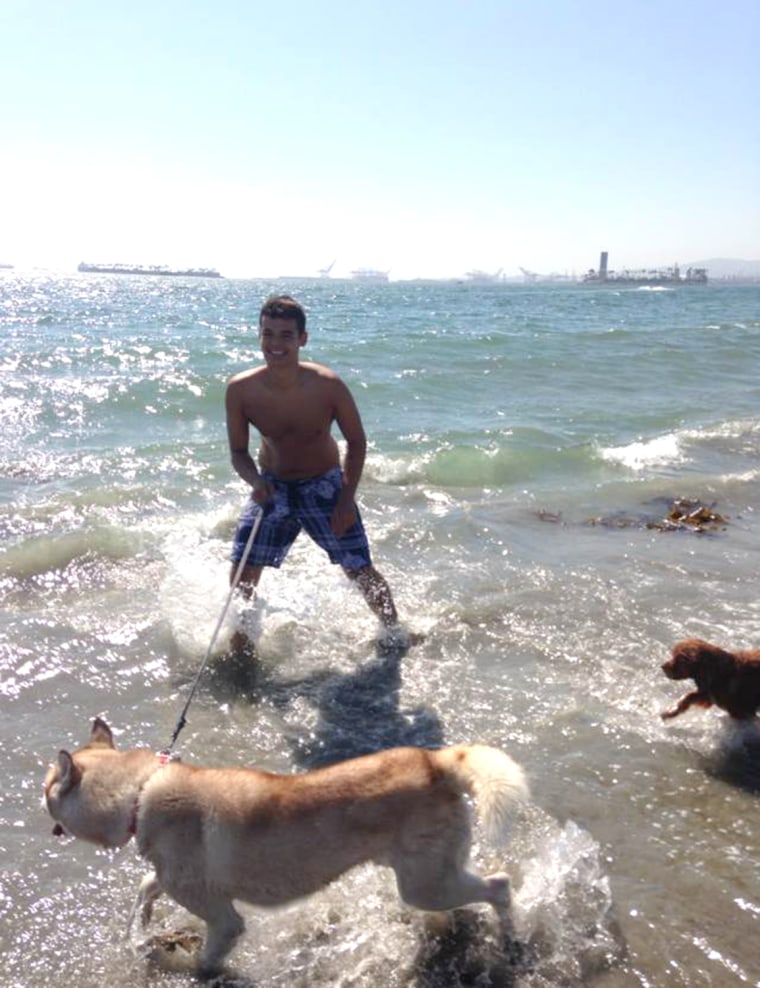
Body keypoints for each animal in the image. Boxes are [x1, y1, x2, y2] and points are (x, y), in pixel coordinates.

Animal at [41, 716, 528, 972]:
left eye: (47, 785)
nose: (36, 796)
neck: (140, 793)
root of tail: (435, 760)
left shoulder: (222, 919)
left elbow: (205, 962)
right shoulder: (177, 877)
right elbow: (146, 887)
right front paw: (140, 930)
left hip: (427, 885)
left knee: (501, 884)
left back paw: (509, 936)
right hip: (430, 878)